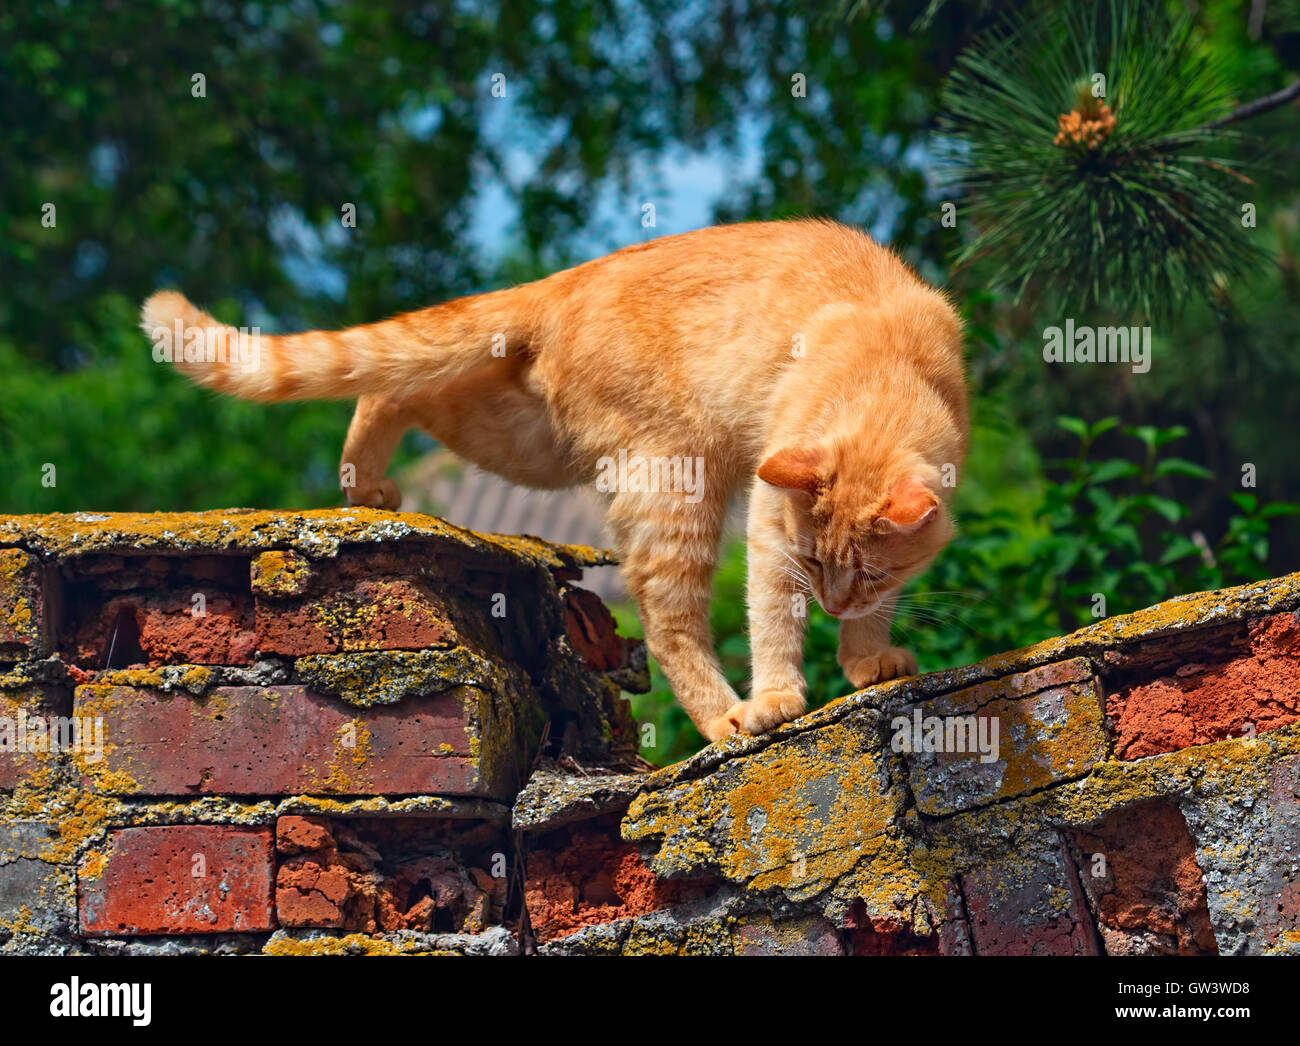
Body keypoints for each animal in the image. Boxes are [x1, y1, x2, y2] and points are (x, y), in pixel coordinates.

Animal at [144, 220, 977, 743]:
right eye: (811, 562)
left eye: (869, 574)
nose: (832, 602)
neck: (881, 363)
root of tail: (568, 279)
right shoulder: (773, 532)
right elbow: (772, 621)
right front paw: (778, 696)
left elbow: (875, 616)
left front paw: (867, 660)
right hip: (672, 474)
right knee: (667, 620)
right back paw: (726, 719)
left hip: (518, 434)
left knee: (388, 388)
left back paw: (367, 489)